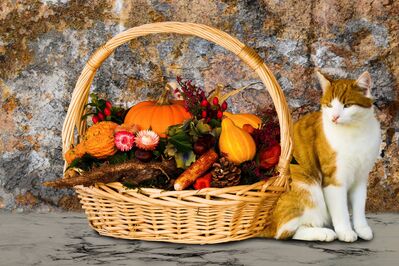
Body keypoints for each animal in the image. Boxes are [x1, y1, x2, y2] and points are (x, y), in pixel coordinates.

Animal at [260, 71, 382, 242]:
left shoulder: (361, 178)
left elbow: (359, 206)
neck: (354, 132)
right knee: (284, 232)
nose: (335, 117)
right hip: (306, 187)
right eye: (329, 105)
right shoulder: (333, 178)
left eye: (347, 105)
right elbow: (341, 210)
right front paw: (345, 231)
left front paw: (362, 228)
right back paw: (324, 233)